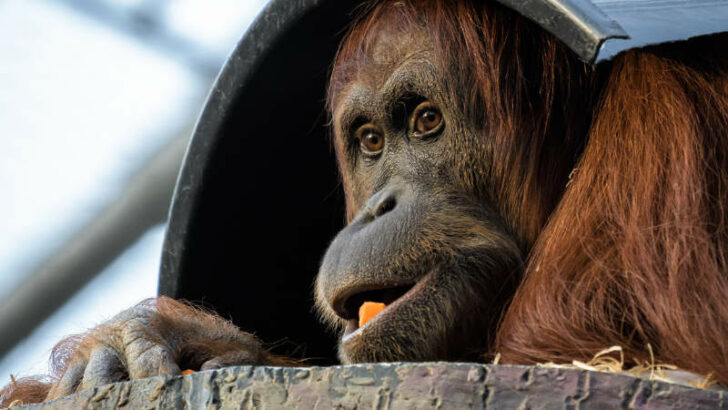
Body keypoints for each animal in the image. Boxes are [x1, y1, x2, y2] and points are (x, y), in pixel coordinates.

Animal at [3, 0, 728, 405]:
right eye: (372, 140)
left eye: (428, 121)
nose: (374, 208)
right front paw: (127, 347)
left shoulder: (660, 129)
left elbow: (590, 348)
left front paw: (209, 343)